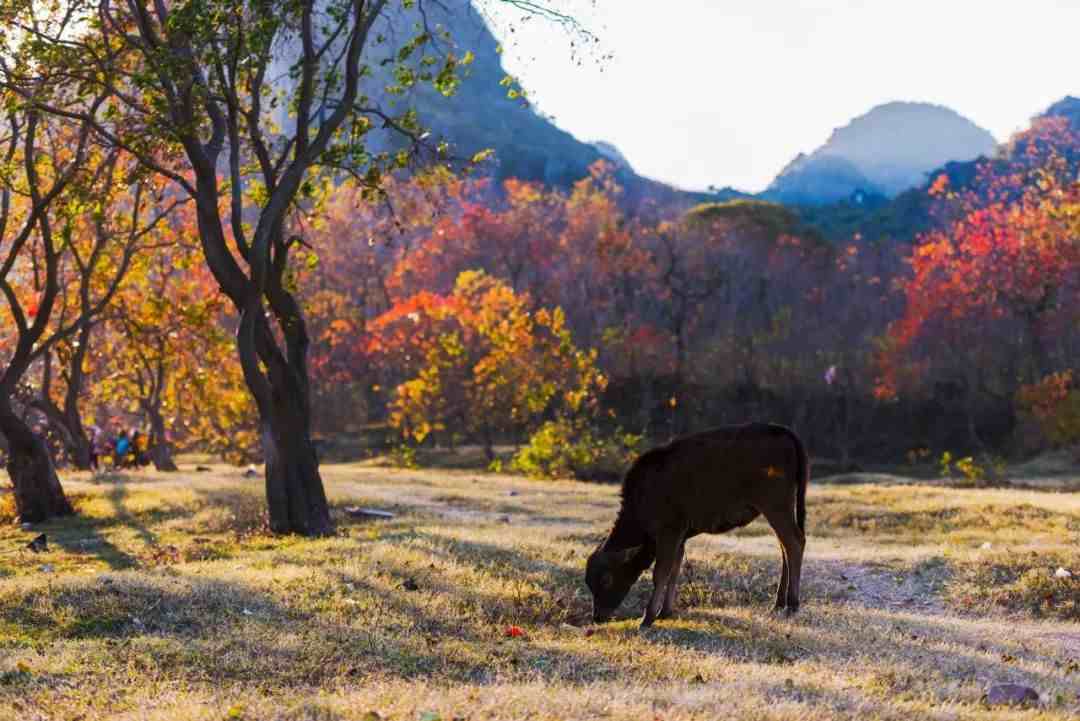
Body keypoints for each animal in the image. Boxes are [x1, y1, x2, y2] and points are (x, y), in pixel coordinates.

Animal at [587, 423, 807, 626]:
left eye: (606, 579)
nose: (598, 617)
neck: (643, 495)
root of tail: (782, 430)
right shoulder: (680, 538)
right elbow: (674, 570)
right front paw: (665, 612)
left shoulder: (669, 533)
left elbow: (661, 573)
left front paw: (647, 618)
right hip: (778, 510)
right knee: (784, 546)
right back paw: (778, 603)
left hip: (775, 506)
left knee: (794, 542)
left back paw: (791, 605)